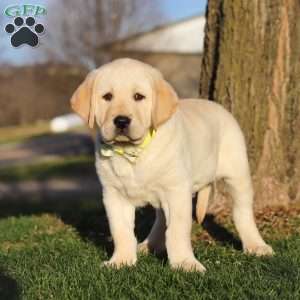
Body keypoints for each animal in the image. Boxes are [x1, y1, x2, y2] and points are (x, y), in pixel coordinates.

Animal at [71, 58, 274, 272]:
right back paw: (149, 244)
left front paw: (185, 263)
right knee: (161, 219)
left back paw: (256, 245)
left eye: (138, 97)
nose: (121, 121)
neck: (133, 152)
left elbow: (177, 230)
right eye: (107, 97)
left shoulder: (177, 191)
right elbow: (121, 231)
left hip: (237, 172)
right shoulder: (114, 194)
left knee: (242, 212)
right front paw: (121, 260)